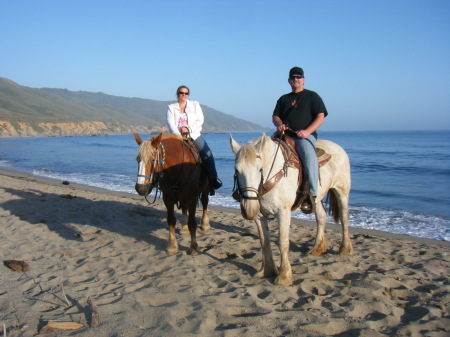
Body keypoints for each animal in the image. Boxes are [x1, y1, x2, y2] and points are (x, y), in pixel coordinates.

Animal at [230, 133, 354, 284]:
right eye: (237, 170)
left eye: (260, 169)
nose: (249, 208)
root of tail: (339, 148)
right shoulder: (259, 216)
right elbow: (264, 242)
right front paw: (267, 271)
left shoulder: (283, 212)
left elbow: (283, 242)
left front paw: (284, 277)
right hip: (317, 198)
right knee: (321, 218)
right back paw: (317, 248)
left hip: (342, 191)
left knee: (344, 218)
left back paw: (345, 249)